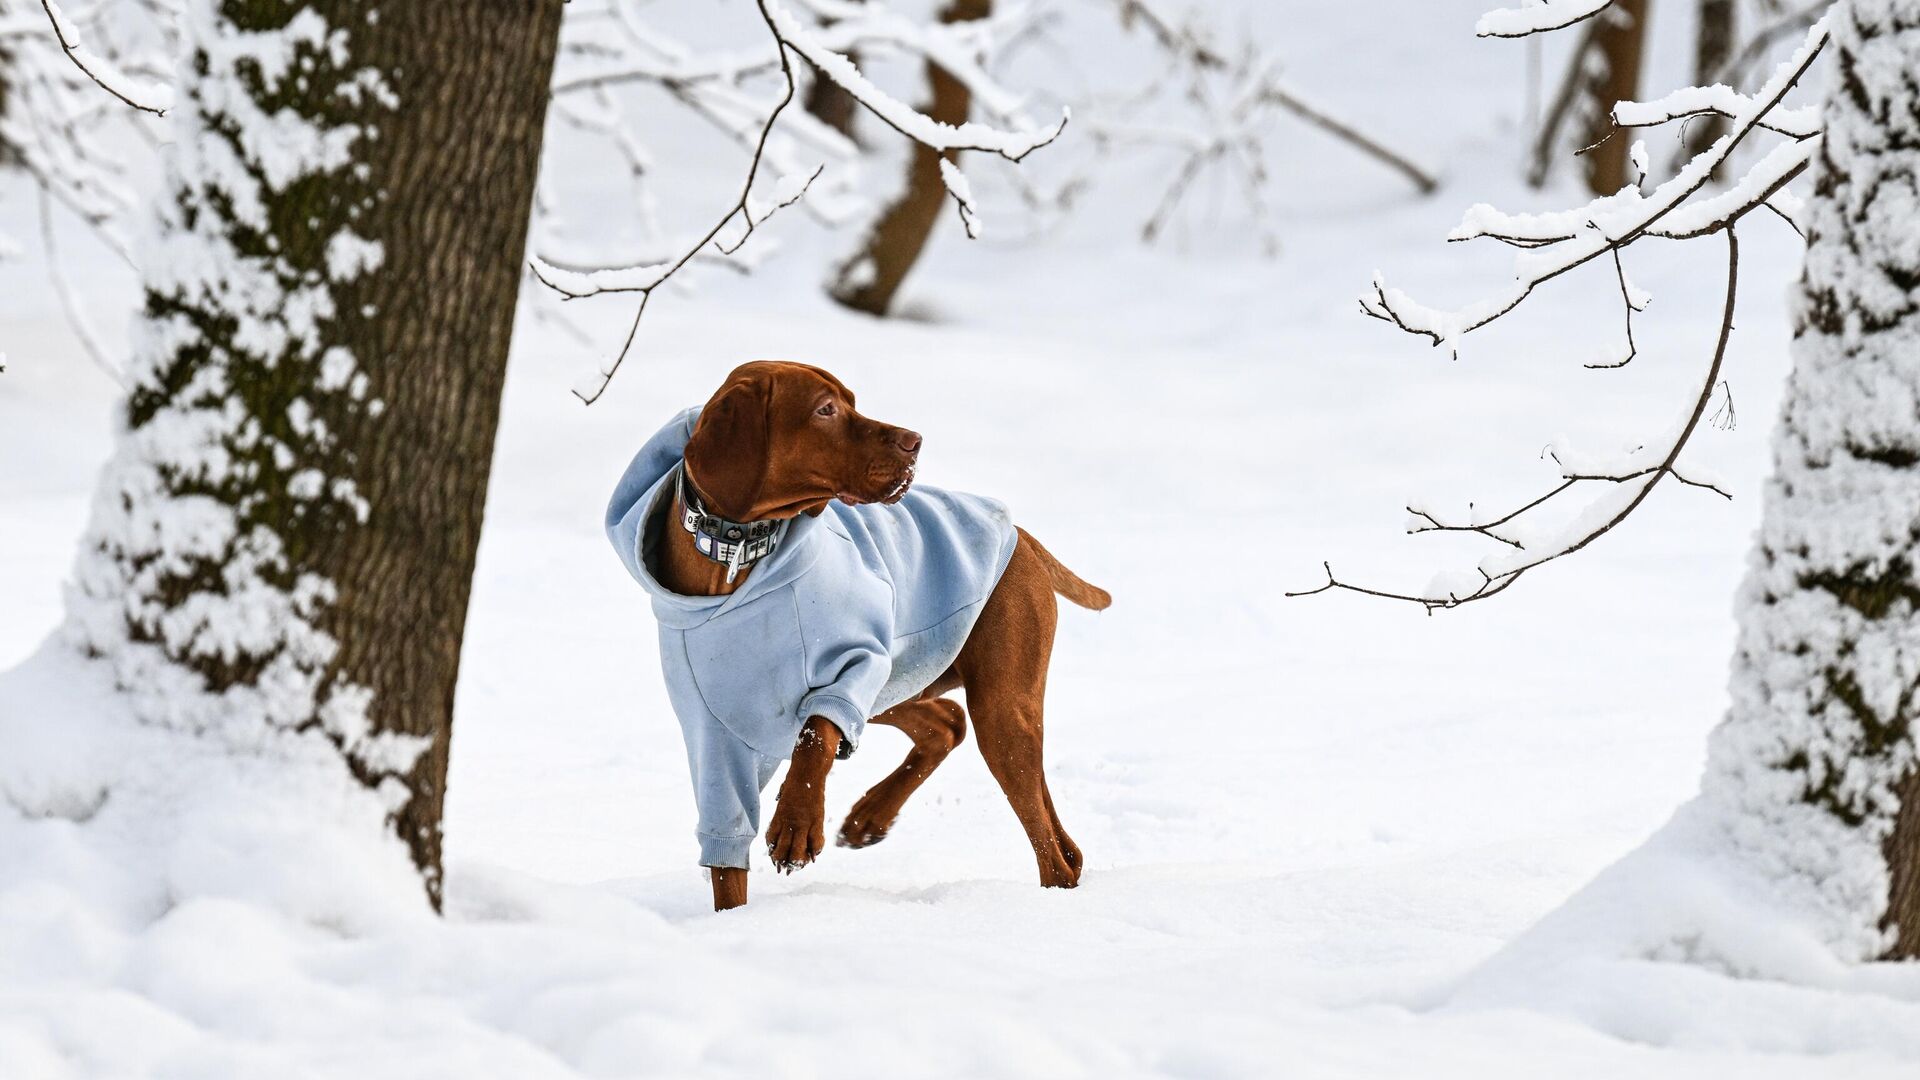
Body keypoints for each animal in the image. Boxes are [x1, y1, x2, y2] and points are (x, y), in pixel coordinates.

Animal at [656, 361, 1121, 907]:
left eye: (851, 401)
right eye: (825, 409)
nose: (914, 441)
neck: (733, 556)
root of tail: (1020, 535)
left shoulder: (855, 664)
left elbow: (816, 736)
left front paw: (796, 825)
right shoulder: (712, 735)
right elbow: (727, 862)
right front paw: (731, 921)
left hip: (1000, 710)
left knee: (1047, 843)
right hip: (904, 686)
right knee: (947, 723)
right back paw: (869, 817)